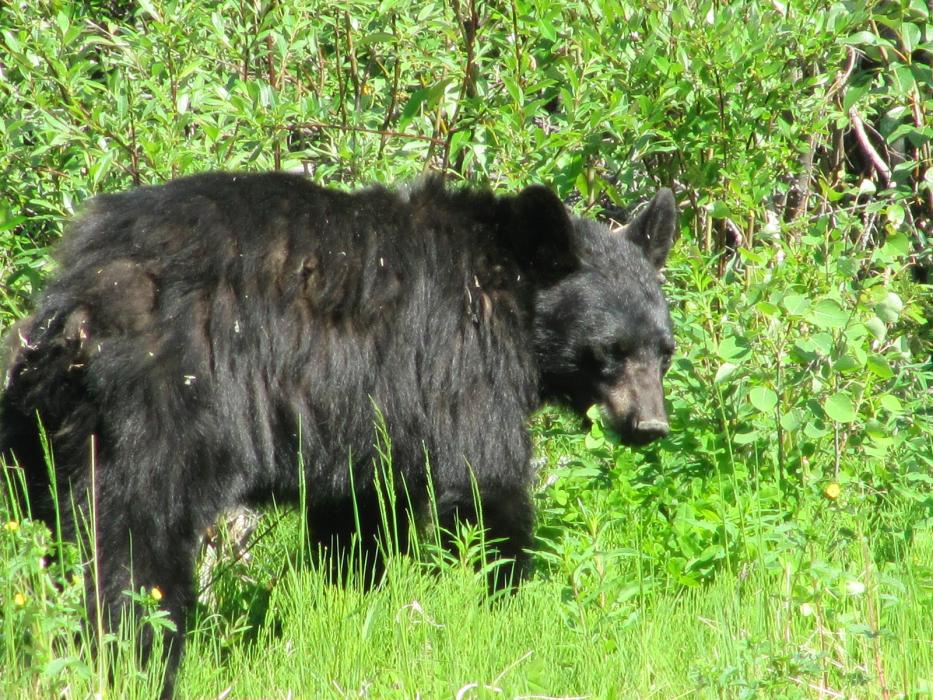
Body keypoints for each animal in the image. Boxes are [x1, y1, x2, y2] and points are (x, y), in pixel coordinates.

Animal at [0, 172, 676, 695]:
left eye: (664, 351)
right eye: (610, 351)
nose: (650, 426)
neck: (510, 287)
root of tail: (77, 305)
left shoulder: (362, 422)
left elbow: (355, 522)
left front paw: (354, 606)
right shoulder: (458, 363)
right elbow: (484, 486)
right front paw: (506, 604)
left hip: (38, 420)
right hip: (164, 404)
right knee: (132, 544)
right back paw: (136, 660)